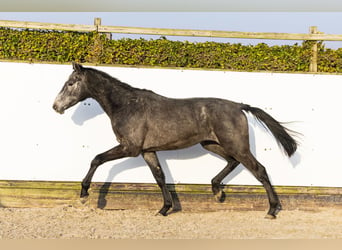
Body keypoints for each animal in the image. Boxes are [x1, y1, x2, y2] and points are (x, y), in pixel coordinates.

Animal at [52, 63, 296, 219]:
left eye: (71, 83)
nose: (56, 106)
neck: (127, 105)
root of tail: (239, 106)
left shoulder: (130, 148)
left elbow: (97, 159)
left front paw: (84, 195)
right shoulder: (147, 151)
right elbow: (160, 177)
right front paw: (164, 209)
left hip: (236, 145)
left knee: (259, 170)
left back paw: (272, 210)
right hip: (212, 144)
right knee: (233, 162)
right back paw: (217, 191)